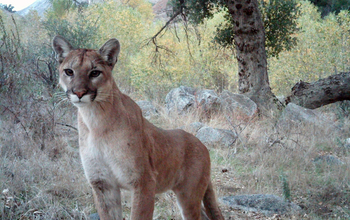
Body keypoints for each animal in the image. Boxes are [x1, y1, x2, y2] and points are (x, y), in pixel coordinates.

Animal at [53, 35, 223, 219]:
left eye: (95, 73)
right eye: (69, 71)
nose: (79, 93)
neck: (95, 120)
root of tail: (202, 144)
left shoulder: (143, 182)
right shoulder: (102, 183)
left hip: (189, 195)